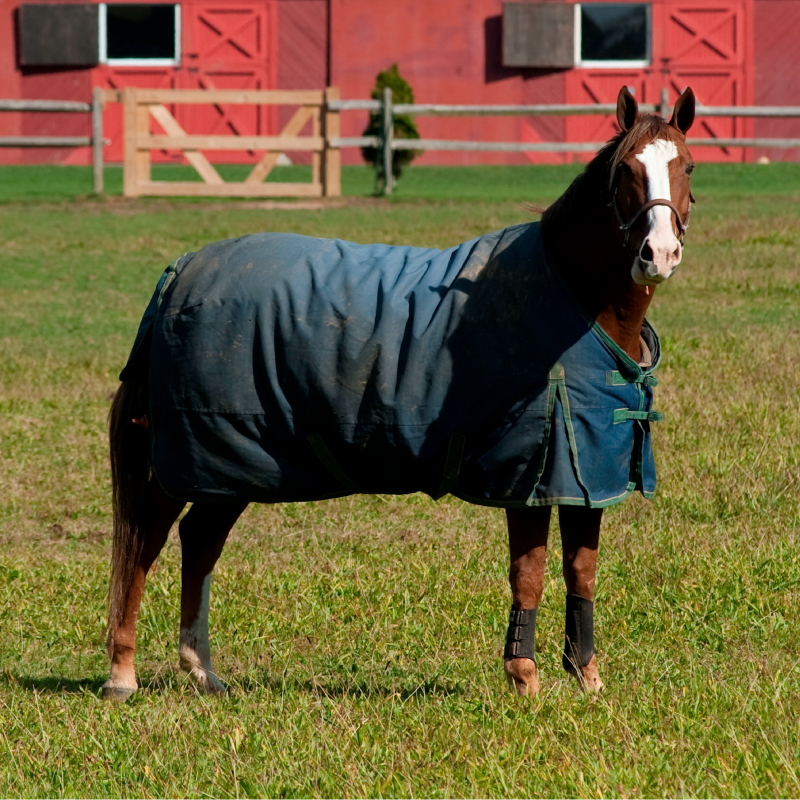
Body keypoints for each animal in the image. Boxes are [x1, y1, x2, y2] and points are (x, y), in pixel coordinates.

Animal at [102, 85, 695, 701]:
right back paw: (122, 674)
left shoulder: (588, 474)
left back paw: (202, 670)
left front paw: (586, 676)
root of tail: (182, 272)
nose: (658, 253)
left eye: (687, 166)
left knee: (199, 540)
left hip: (227, 468)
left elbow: (581, 570)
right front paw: (524, 678)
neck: (570, 302)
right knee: (146, 540)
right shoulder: (528, 475)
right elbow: (528, 572)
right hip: (186, 459)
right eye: (626, 170)